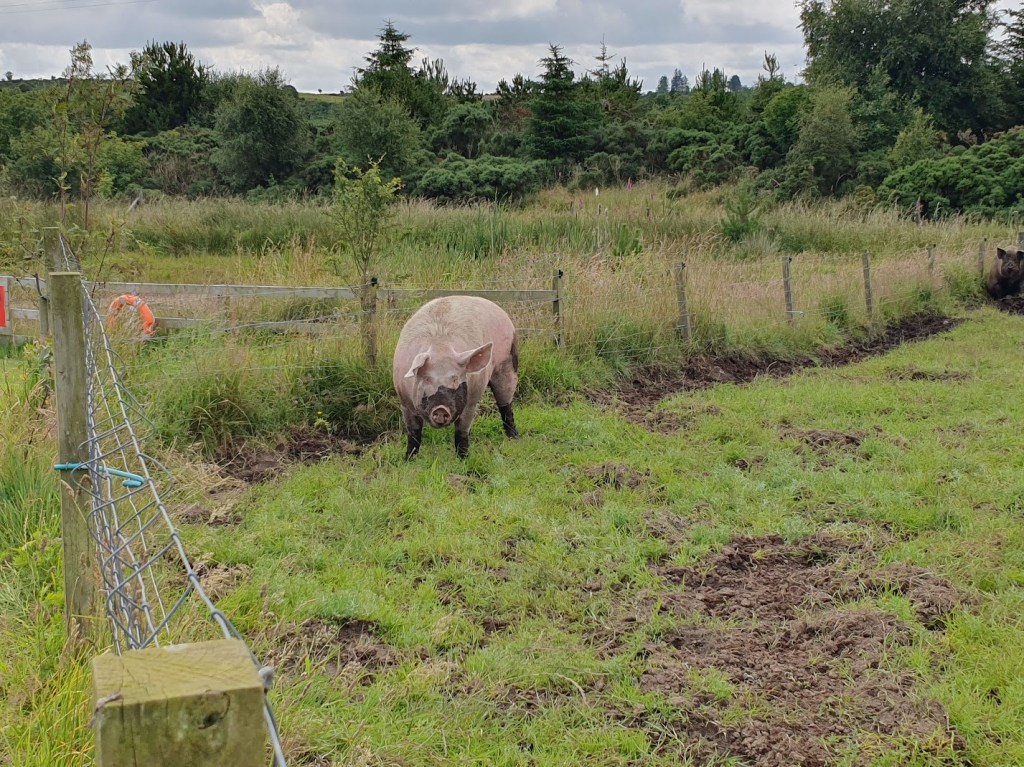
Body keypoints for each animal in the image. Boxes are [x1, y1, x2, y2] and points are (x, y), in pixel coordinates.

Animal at [393, 296, 519, 459]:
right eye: (427, 378)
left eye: (455, 379)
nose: (441, 409)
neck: (440, 348)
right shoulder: (404, 401)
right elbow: (413, 433)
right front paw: (408, 459)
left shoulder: (471, 401)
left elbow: (461, 432)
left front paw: (463, 459)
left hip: (507, 364)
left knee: (506, 405)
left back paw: (514, 438)